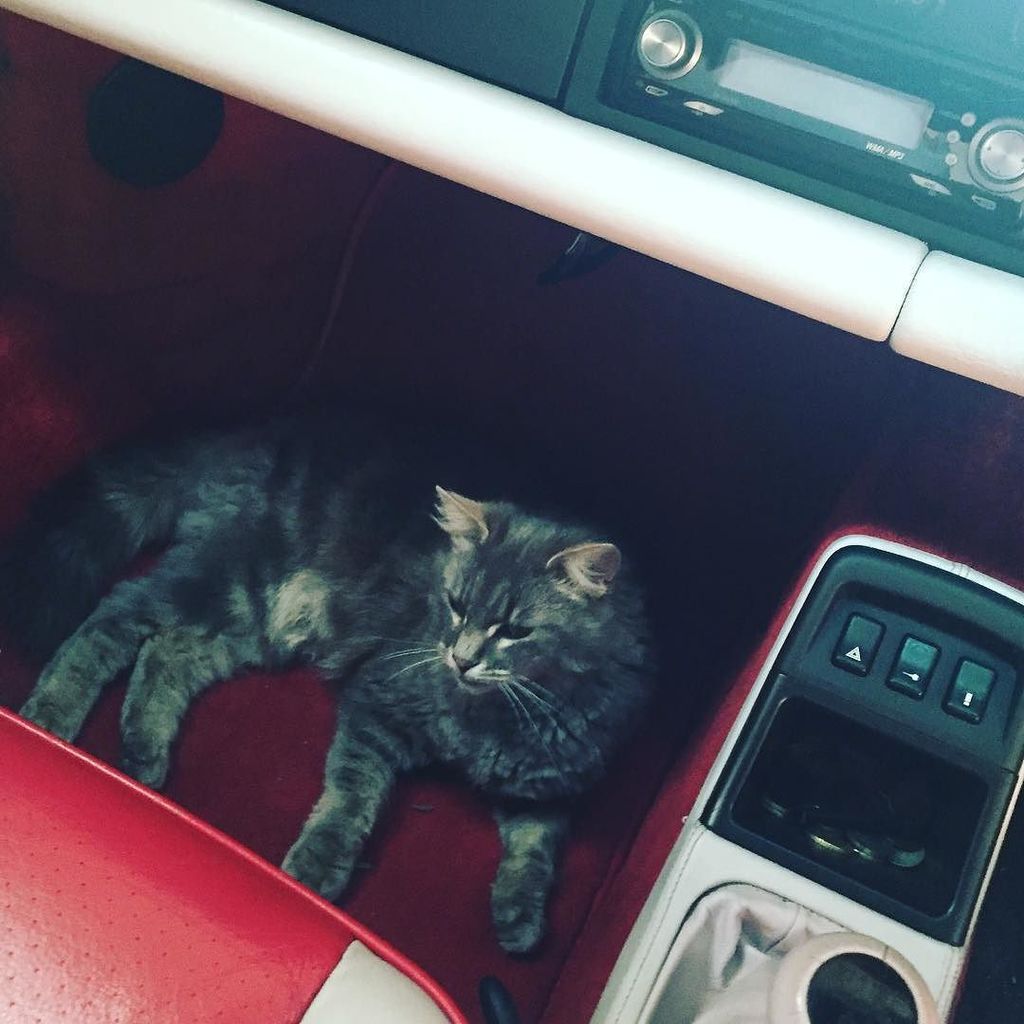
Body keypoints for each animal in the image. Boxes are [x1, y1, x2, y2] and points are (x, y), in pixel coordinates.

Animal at [2, 411, 655, 954]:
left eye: (516, 630)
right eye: (455, 604)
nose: (460, 658)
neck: (509, 716)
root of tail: (261, 432)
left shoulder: (548, 784)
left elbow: (535, 852)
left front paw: (520, 920)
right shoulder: (376, 706)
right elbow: (349, 803)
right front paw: (314, 874)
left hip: (256, 622)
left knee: (168, 654)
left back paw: (143, 755)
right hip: (224, 581)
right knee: (113, 619)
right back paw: (51, 717)